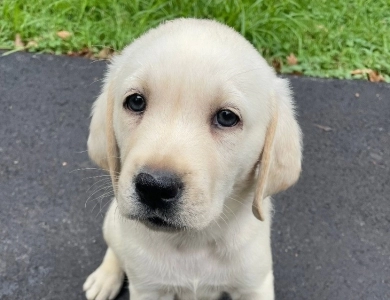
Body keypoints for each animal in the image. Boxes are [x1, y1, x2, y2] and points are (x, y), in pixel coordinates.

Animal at [83, 18, 302, 300]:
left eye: (227, 117)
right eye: (136, 101)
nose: (155, 187)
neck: (193, 243)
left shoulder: (255, 284)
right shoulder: (148, 289)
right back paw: (105, 277)